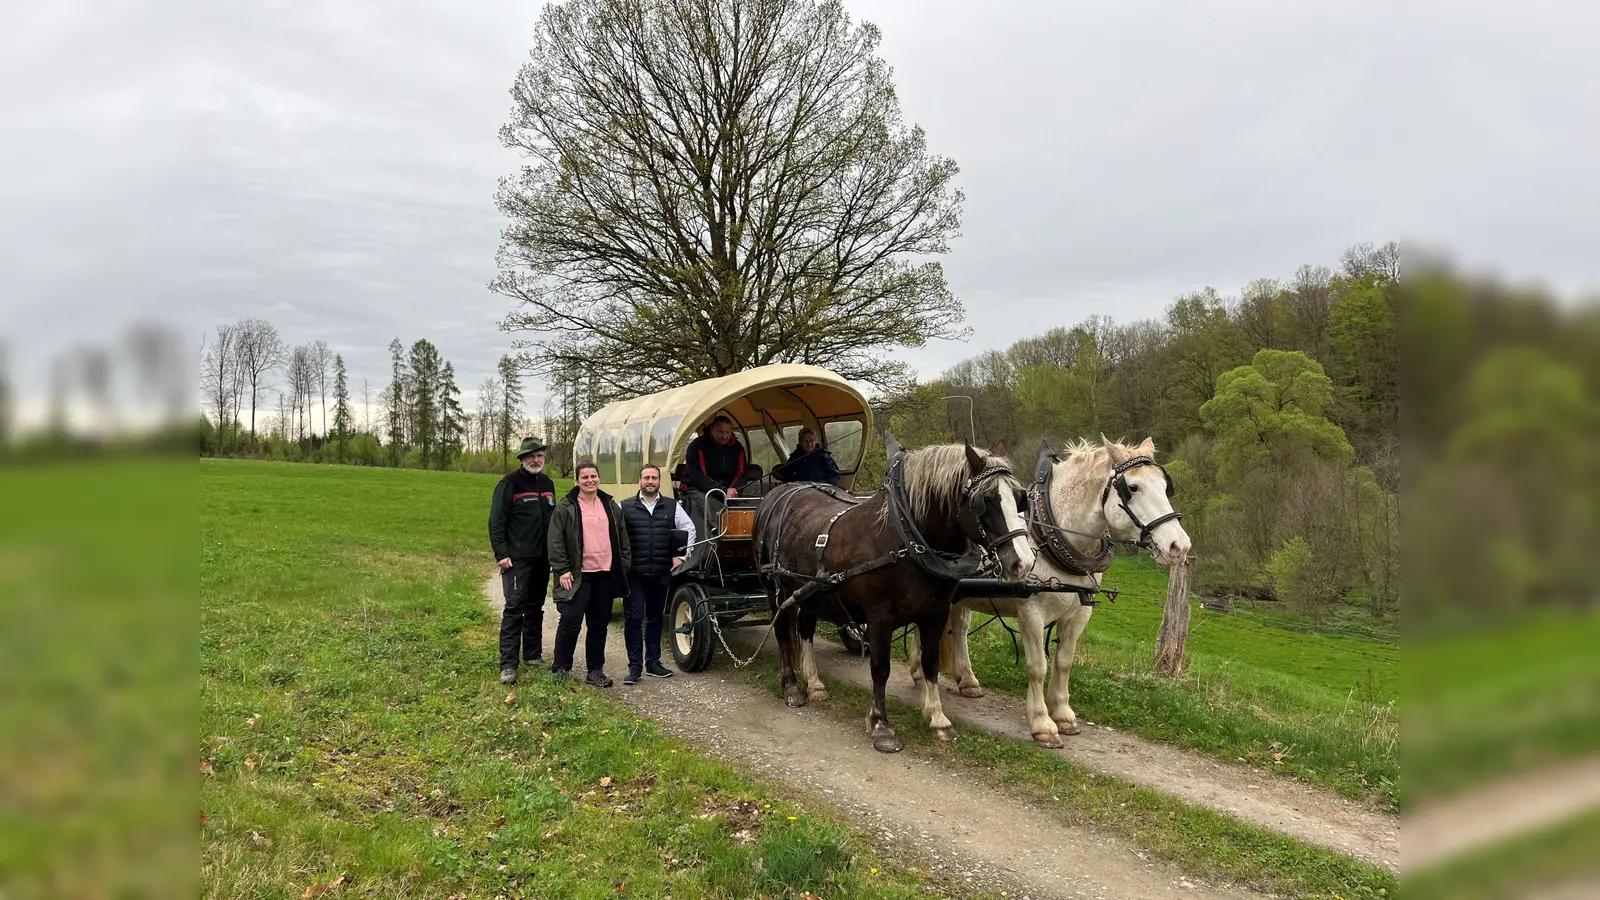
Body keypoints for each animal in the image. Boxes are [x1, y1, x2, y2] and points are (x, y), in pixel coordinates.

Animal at [752, 435, 1036, 749]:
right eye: (984, 501)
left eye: (1020, 497)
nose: (1023, 562)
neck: (905, 537)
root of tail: (778, 494)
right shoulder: (879, 618)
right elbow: (880, 668)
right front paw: (881, 725)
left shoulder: (936, 614)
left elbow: (930, 663)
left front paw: (938, 718)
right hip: (776, 591)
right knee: (783, 633)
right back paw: (791, 687)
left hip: (811, 592)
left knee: (805, 630)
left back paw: (814, 684)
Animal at [908, 432, 1196, 743]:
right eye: (1133, 487)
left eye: (1165, 486)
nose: (1179, 546)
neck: (1049, 538)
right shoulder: (1032, 614)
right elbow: (1037, 667)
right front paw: (1041, 723)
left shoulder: (1079, 615)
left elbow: (1064, 662)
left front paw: (1063, 713)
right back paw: (919, 675)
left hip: (960, 598)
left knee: (958, 629)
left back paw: (967, 680)